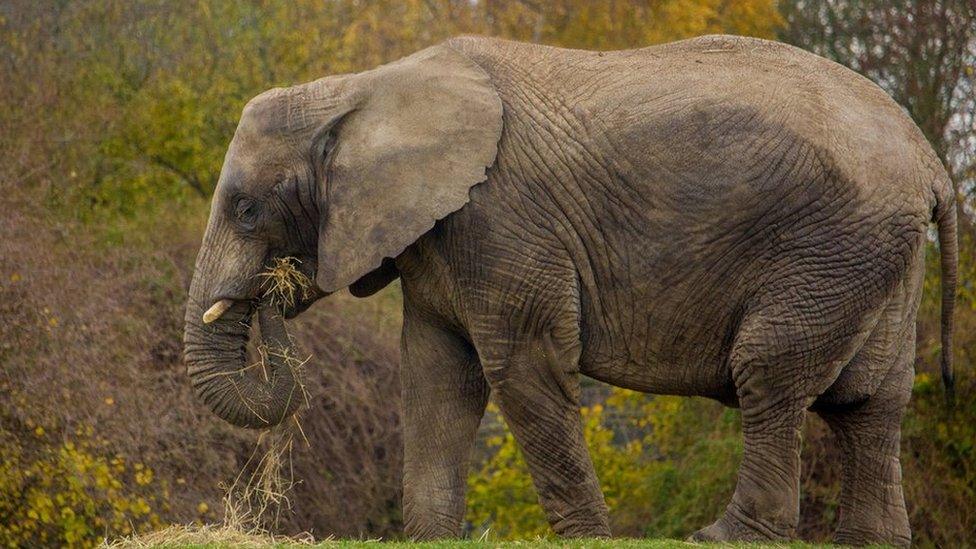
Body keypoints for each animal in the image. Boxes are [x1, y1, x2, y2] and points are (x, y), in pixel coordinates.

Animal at [181, 34, 952, 544]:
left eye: (245, 209)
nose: (272, 295)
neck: (359, 89)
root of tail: (928, 159)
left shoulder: (501, 218)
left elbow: (522, 365)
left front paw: (587, 537)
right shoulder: (438, 235)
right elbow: (437, 378)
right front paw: (431, 538)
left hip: (829, 248)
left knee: (769, 373)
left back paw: (721, 536)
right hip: (878, 257)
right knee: (872, 402)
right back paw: (869, 541)